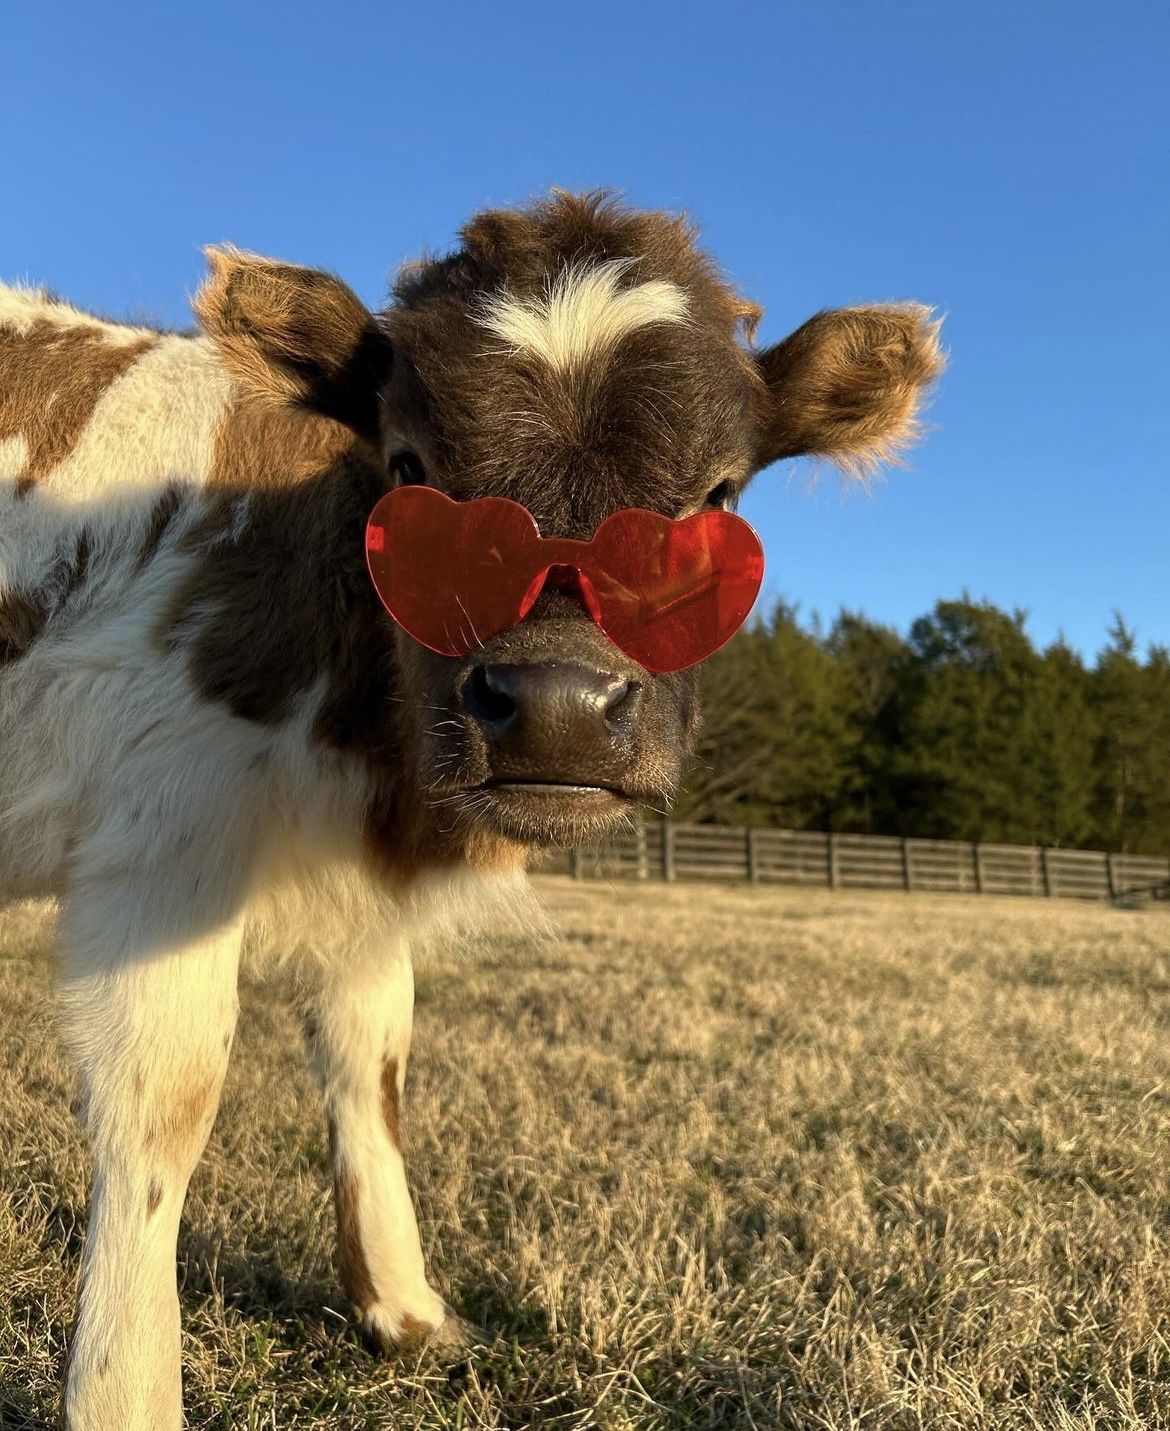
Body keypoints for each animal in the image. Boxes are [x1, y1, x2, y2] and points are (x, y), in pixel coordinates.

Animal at [0, 190, 943, 1428]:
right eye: (410, 468)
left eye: (719, 496)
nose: (557, 706)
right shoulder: (167, 823)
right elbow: (168, 1100)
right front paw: (125, 1391)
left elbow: (374, 1056)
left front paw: (401, 1305)